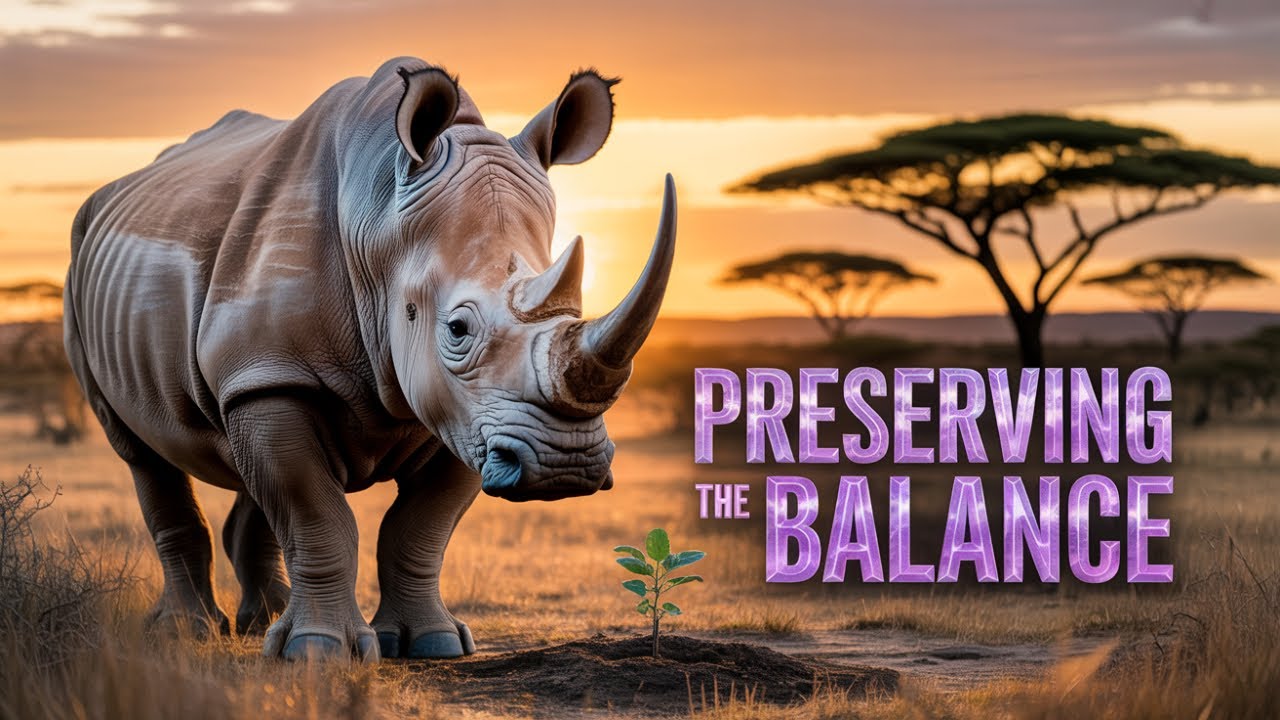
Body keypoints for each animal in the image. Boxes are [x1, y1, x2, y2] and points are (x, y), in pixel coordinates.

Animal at [62, 57, 676, 662]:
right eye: (457, 330)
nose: (565, 463)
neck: (380, 226)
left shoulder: (464, 412)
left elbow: (421, 525)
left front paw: (431, 644)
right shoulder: (279, 376)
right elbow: (314, 512)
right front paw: (317, 653)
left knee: (244, 461)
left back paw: (262, 623)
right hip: (86, 268)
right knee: (143, 455)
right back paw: (188, 633)